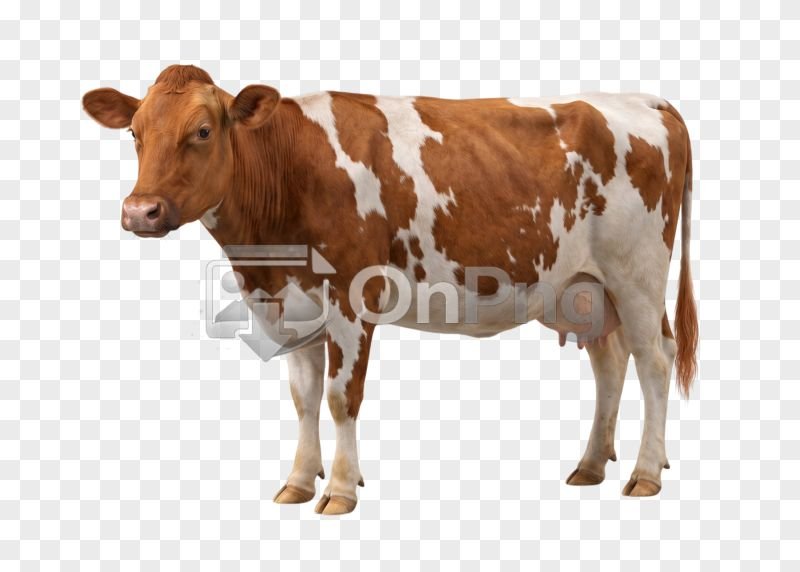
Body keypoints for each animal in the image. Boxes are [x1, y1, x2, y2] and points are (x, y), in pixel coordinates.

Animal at [83, 64, 697, 515]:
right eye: (135, 133)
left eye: (203, 131)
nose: (140, 211)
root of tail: (649, 101)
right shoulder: (291, 307)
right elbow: (304, 398)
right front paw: (299, 482)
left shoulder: (351, 302)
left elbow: (340, 398)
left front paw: (339, 490)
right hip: (584, 287)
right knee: (610, 361)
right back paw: (591, 465)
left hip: (637, 273)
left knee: (654, 360)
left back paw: (645, 473)